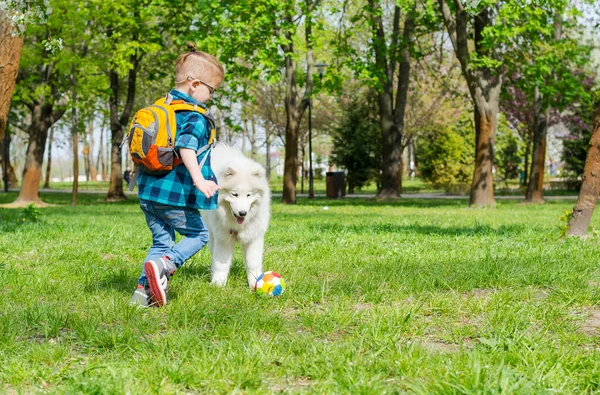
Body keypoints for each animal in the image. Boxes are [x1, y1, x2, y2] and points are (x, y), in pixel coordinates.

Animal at [202, 144, 272, 290]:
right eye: (234, 194)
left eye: (249, 195)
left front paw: (255, 283)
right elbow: (221, 263)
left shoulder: (254, 237)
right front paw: (218, 284)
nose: (242, 213)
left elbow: (253, 263)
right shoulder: (223, 238)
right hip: (212, 233)